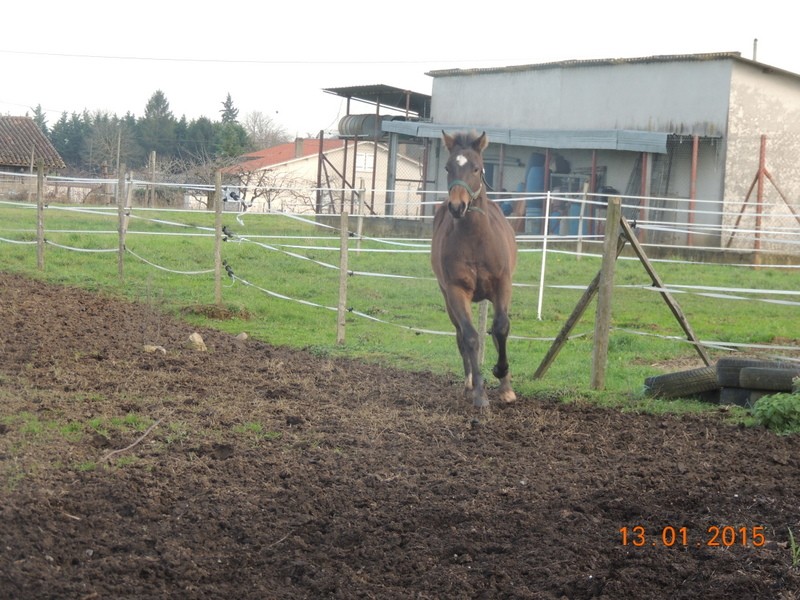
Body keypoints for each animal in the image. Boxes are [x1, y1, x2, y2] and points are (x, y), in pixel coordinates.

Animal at [432, 131, 520, 408]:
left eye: (477, 168)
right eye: (448, 167)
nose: (457, 206)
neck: (475, 241)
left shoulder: (503, 285)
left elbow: (501, 328)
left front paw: (503, 378)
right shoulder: (456, 291)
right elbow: (470, 337)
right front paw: (480, 393)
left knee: (495, 330)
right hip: (448, 298)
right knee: (462, 336)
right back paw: (469, 384)